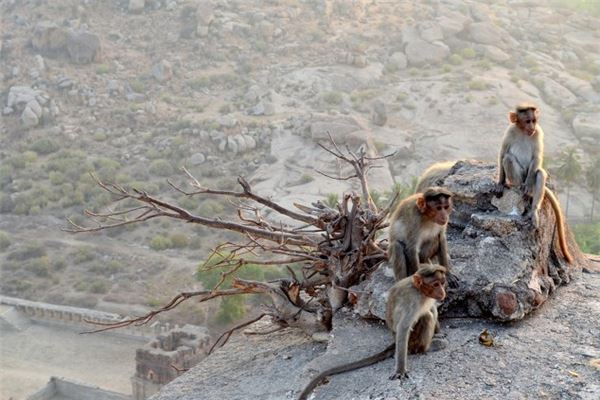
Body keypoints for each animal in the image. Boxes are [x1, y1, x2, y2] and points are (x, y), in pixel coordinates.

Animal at [298, 262, 448, 400]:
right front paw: (400, 370)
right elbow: (403, 328)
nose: (443, 292)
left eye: (442, 283)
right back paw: (427, 348)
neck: (420, 291)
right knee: (426, 317)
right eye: (435, 284)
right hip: (412, 340)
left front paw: (438, 332)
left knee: (428, 313)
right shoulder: (412, 300)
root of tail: (393, 341)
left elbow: (432, 308)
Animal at [494, 104, 576, 264]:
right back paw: (518, 188)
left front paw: (527, 188)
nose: (532, 126)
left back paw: (533, 208)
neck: (522, 131)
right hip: (517, 178)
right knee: (508, 158)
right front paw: (500, 182)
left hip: (532, 183)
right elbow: (503, 153)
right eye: (527, 121)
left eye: (534, 121)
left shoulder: (538, 132)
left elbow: (537, 157)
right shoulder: (510, 131)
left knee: (539, 174)